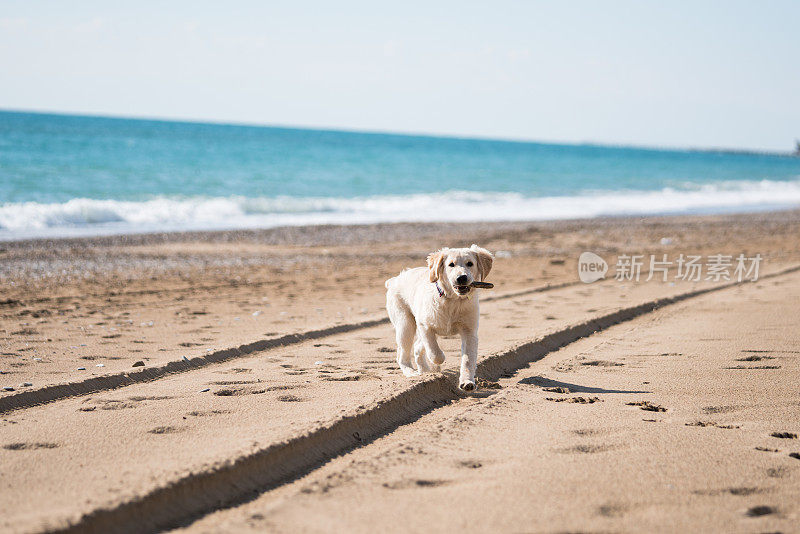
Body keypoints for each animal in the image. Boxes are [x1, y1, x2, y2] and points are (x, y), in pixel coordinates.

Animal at [382, 245, 490, 392]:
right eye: (451, 264)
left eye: (470, 263)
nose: (462, 278)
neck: (452, 300)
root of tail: (394, 280)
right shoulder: (424, 325)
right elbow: (434, 352)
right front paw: (439, 361)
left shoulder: (470, 331)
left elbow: (468, 360)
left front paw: (467, 382)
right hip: (405, 324)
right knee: (402, 355)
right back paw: (412, 372)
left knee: (417, 347)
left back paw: (425, 371)